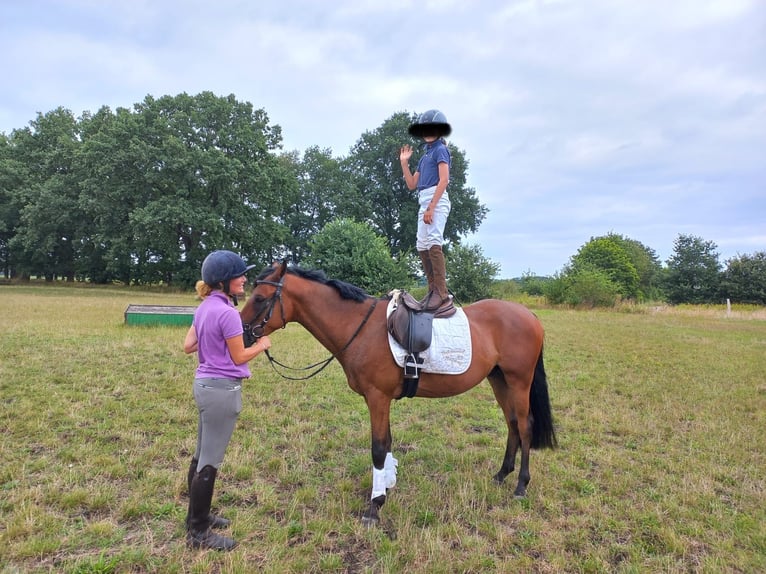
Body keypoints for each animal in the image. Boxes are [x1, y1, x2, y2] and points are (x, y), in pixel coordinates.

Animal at [243, 264, 560, 528]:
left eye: (259, 298)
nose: (243, 334)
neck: (360, 328)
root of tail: (529, 315)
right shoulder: (379, 399)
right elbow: (387, 442)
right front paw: (386, 485)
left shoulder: (377, 397)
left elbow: (378, 448)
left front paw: (374, 506)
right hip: (499, 380)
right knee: (512, 424)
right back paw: (501, 474)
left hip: (519, 381)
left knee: (525, 426)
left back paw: (521, 485)